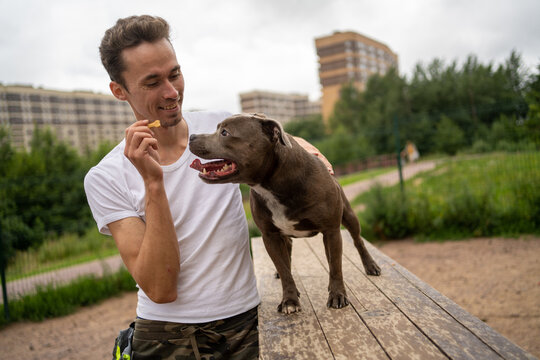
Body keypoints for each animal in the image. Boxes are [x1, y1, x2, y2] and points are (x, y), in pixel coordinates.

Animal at [189, 114, 380, 314]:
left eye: (225, 132)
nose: (191, 136)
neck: (272, 184)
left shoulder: (331, 230)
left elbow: (335, 266)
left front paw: (337, 295)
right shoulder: (270, 236)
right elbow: (284, 269)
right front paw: (289, 300)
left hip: (348, 216)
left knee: (356, 241)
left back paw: (370, 265)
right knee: (289, 256)